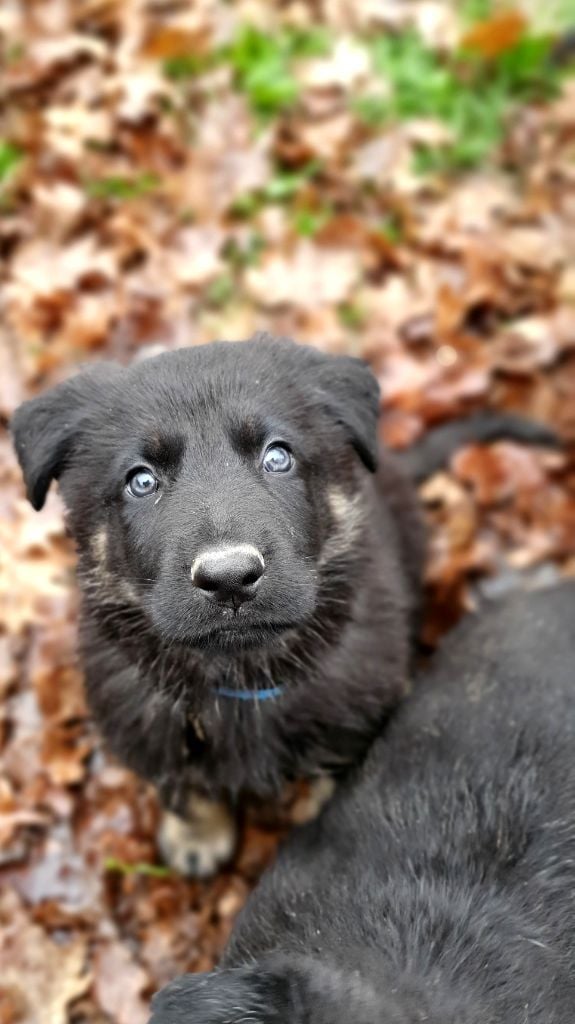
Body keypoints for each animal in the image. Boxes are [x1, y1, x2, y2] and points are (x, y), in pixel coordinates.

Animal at [8, 333, 556, 872]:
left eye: (277, 456)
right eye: (141, 481)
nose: (229, 579)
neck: (243, 680)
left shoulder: (350, 728)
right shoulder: (156, 731)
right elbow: (187, 790)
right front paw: (197, 837)